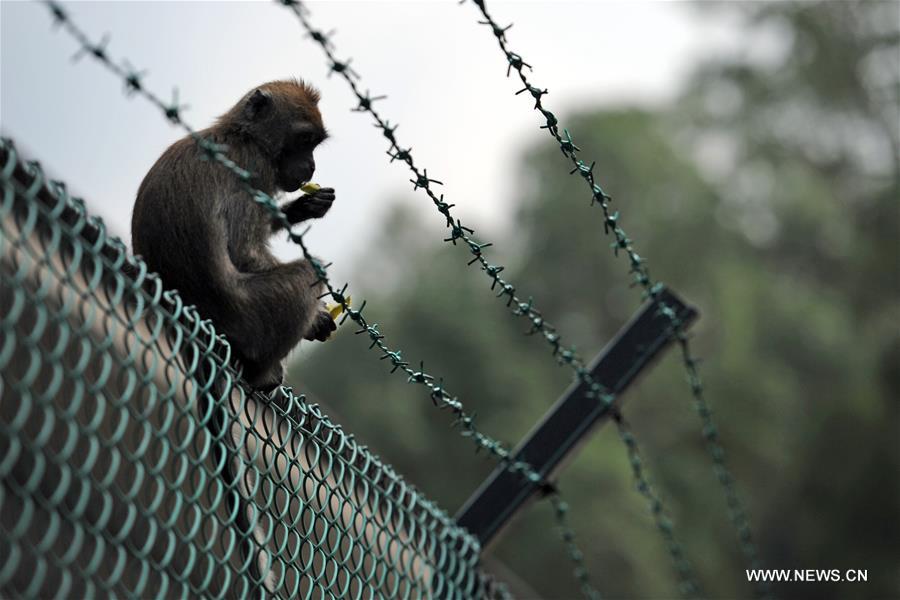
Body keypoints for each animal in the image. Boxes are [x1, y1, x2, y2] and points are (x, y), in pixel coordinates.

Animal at [135, 79, 340, 392]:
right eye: (304, 140)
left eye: (314, 143)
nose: (311, 166)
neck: (244, 136)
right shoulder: (255, 168)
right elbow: (246, 252)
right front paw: (318, 317)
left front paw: (304, 207)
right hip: (254, 318)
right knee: (308, 270)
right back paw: (263, 374)